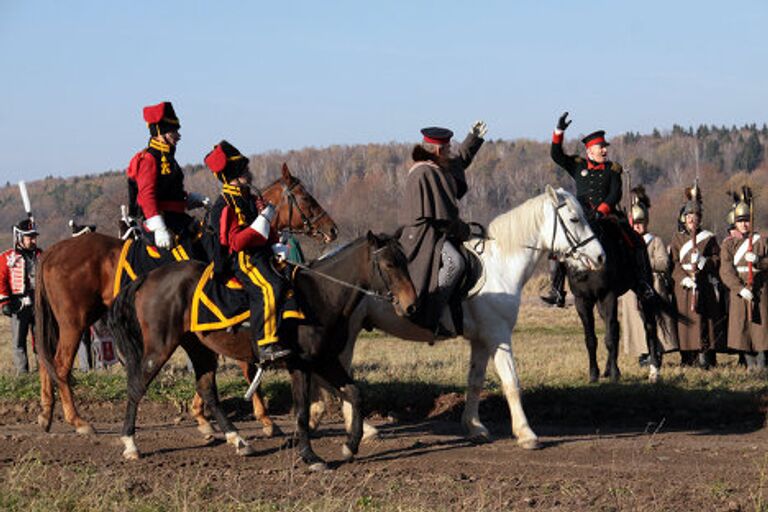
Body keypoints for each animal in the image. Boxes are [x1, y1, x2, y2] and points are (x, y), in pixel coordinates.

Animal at [35, 162, 336, 434]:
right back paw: (77, 420)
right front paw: (264, 419)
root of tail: (51, 251)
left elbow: (214, 364)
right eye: (305, 197)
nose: (332, 229)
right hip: (75, 322)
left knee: (45, 361)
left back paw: (47, 414)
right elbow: (243, 365)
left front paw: (201, 415)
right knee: (60, 364)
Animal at [106, 232, 416, 468]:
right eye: (389, 264)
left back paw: (239, 440)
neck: (320, 294)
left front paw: (350, 446)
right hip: (159, 348)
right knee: (137, 387)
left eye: (405, 261)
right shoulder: (301, 365)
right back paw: (130, 444)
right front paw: (310, 456)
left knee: (207, 390)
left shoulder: (325, 360)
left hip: (200, 349)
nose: (411, 305)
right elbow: (302, 411)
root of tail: (148, 278)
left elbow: (354, 393)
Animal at [312, 186, 608, 450]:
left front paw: (474, 427)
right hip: (348, 332)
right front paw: (526, 434)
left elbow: (475, 381)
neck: (501, 264)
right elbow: (511, 382)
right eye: (574, 219)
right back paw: (359, 428)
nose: (600, 257)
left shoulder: (481, 340)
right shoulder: (499, 335)